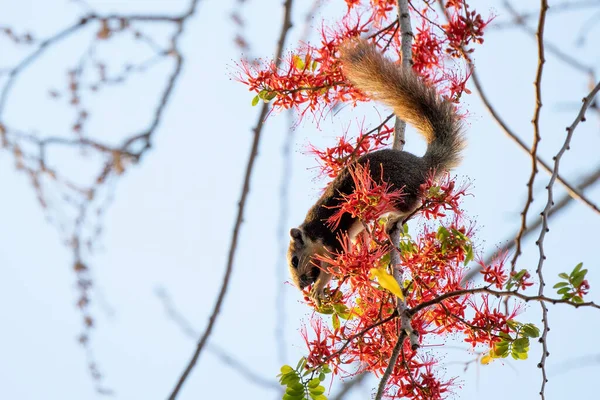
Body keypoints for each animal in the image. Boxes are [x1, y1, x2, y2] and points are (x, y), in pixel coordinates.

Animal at [286, 39, 464, 304]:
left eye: (295, 260)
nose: (301, 286)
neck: (312, 230)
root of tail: (424, 165)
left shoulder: (333, 240)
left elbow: (333, 265)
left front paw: (319, 288)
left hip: (399, 191)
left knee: (410, 205)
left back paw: (393, 219)